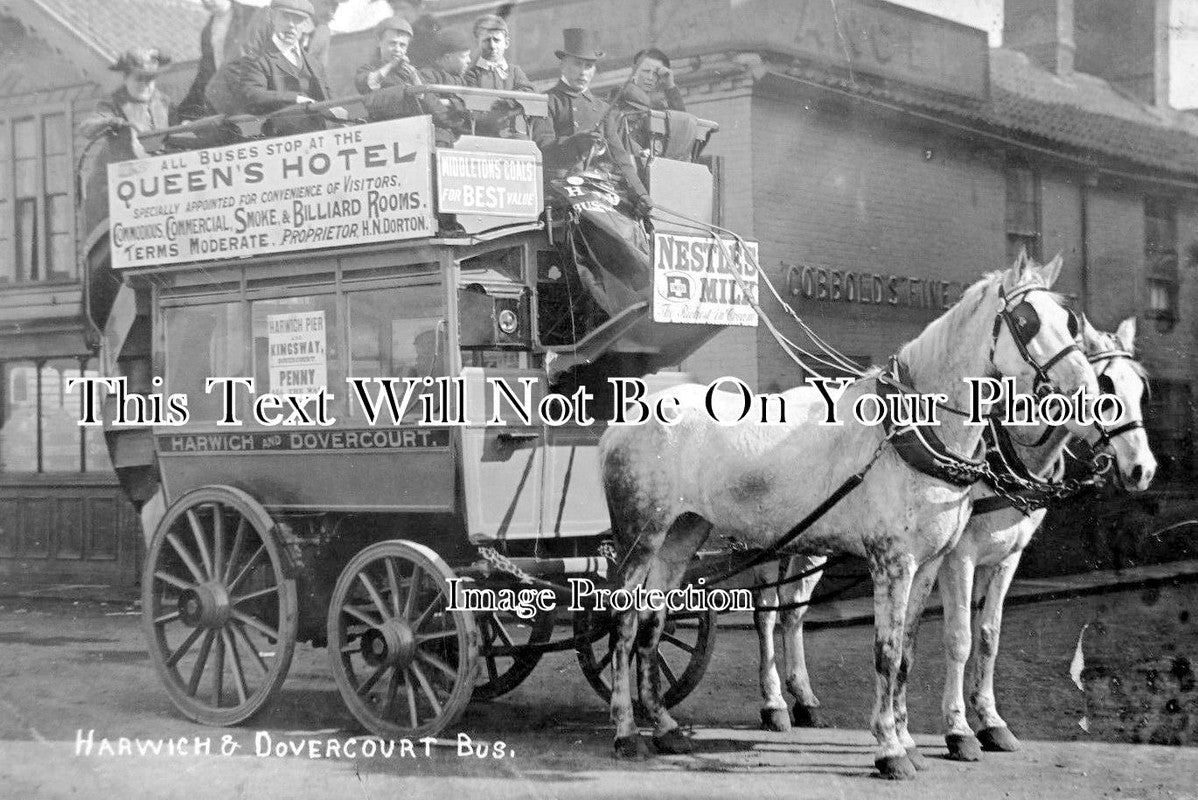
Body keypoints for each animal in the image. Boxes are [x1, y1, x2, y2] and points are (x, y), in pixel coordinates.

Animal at [603, 252, 1097, 776]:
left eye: (1071, 321)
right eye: (1025, 321)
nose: (1086, 390)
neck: (910, 430)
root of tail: (628, 413)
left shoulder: (930, 564)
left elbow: (908, 651)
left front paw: (908, 740)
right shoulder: (895, 563)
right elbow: (888, 652)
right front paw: (891, 748)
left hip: (681, 535)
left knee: (655, 623)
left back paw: (665, 726)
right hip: (641, 536)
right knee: (625, 622)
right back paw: (627, 730)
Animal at [752, 316, 1154, 761]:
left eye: (1140, 387)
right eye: (1104, 385)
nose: (1143, 469)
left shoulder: (1006, 557)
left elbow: (988, 636)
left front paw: (990, 722)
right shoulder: (958, 558)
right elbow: (959, 638)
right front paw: (957, 729)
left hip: (812, 544)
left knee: (793, 612)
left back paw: (804, 699)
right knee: (766, 613)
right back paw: (774, 704)